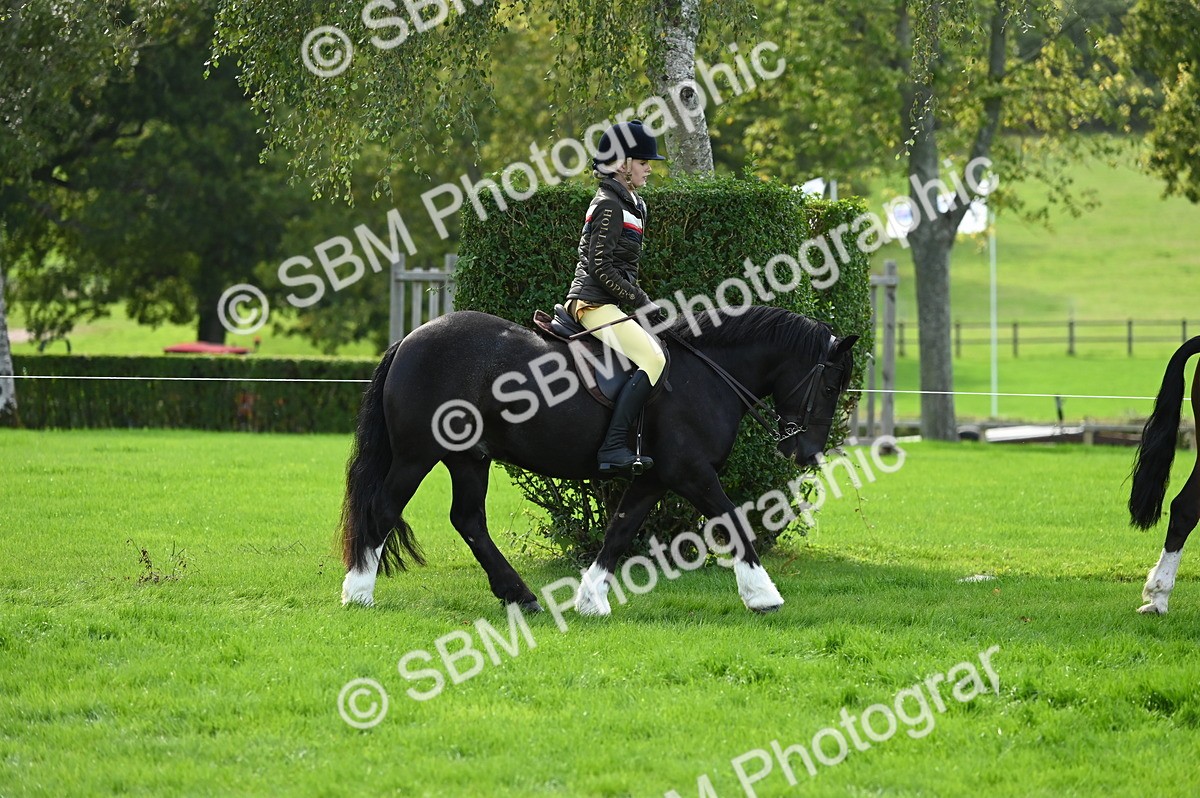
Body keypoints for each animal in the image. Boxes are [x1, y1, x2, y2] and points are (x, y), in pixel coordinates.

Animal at [338, 305, 858, 615]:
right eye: (831, 385)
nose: (805, 453)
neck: (707, 375)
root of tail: (410, 340)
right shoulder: (691, 472)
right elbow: (732, 520)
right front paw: (763, 595)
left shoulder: (654, 477)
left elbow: (619, 531)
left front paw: (591, 600)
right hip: (416, 455)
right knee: (384, 509)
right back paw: (358, 592)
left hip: (469, 459)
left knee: (468, 520)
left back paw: (521, 596)